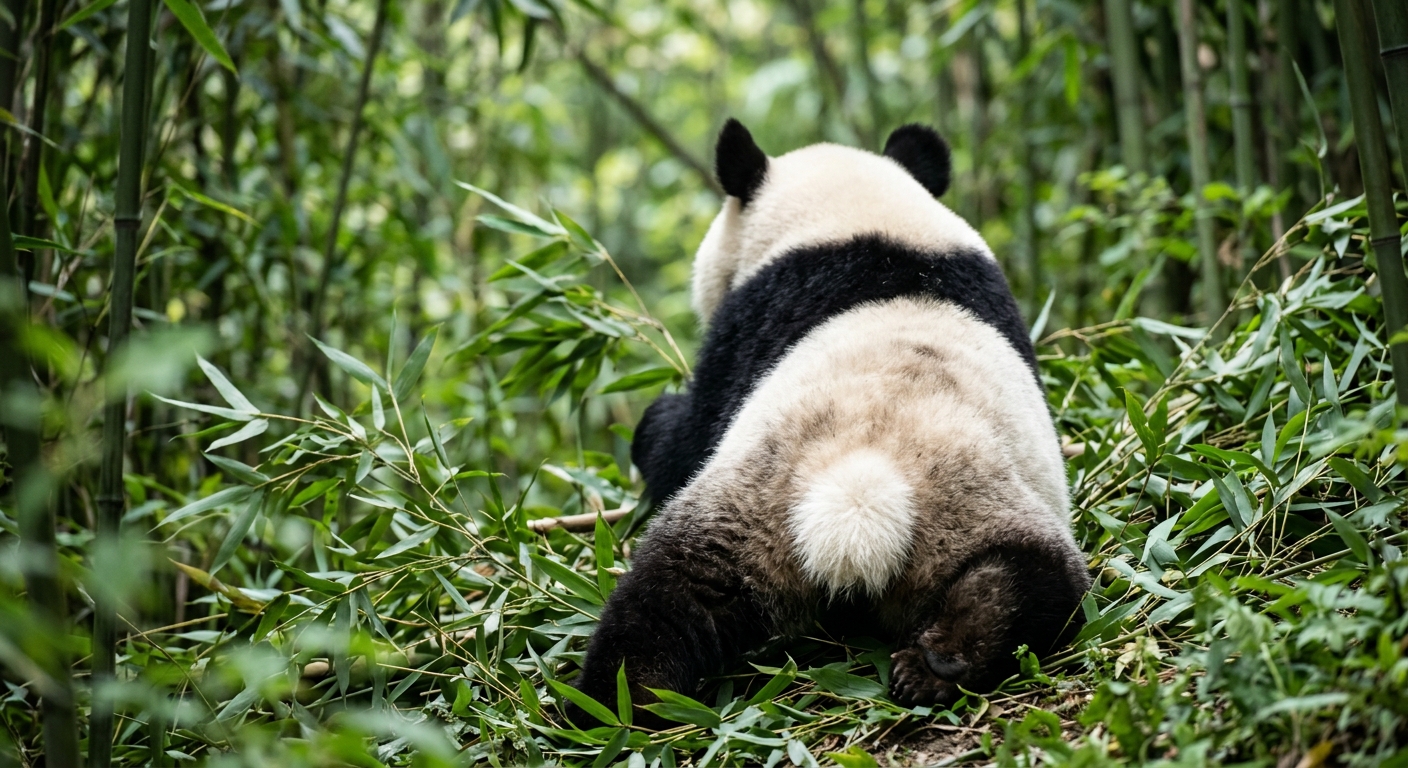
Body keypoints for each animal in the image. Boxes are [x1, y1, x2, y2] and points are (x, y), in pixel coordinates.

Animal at [570, 119, 1091, 724]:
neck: (863, 222)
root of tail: (859, 494)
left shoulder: (742, 328)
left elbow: (686, 438)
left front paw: (655, 422)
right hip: (961, 510)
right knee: (1031, 582)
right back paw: (941, 664)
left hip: (756, 509)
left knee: (657, 607)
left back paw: (613, 705)